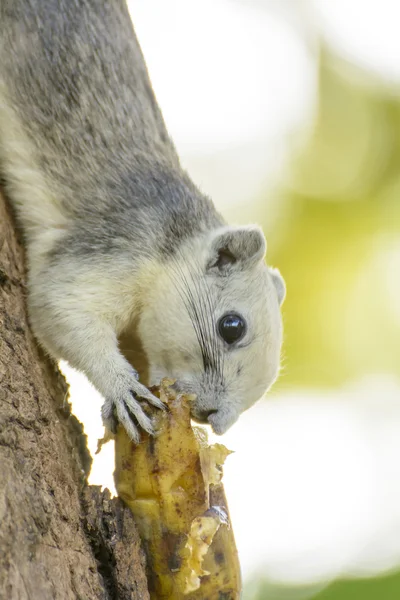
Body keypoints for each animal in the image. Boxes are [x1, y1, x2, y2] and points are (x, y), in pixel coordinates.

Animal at [0, 0, 284, 440]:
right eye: (232, 326)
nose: (213, 418)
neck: (172, 245)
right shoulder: (114, 247)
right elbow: (61, 309)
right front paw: (122, 390)